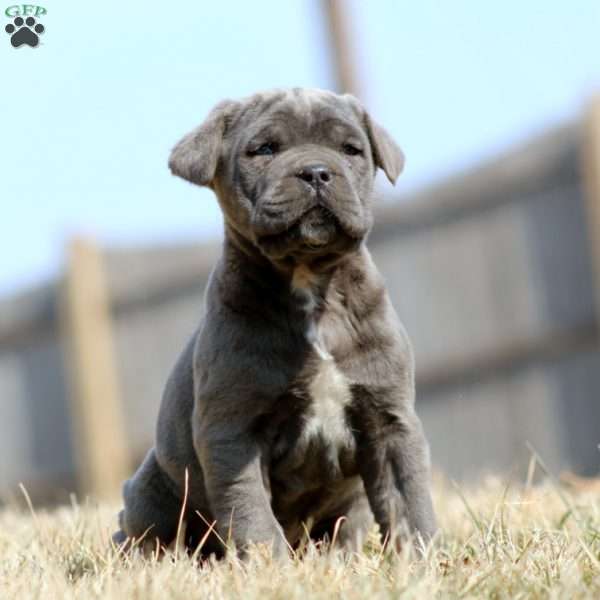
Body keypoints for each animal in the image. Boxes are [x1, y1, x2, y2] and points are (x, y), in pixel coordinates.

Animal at [112, 88, 436, 556]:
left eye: (351, 150)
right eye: (264, 149)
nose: (316, 172)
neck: (310, 284)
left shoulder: (389, 420)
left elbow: (408, 500)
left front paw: (422, 557)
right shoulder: (232, 432)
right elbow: (252, 513)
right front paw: (268, 564)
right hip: (149, 492)